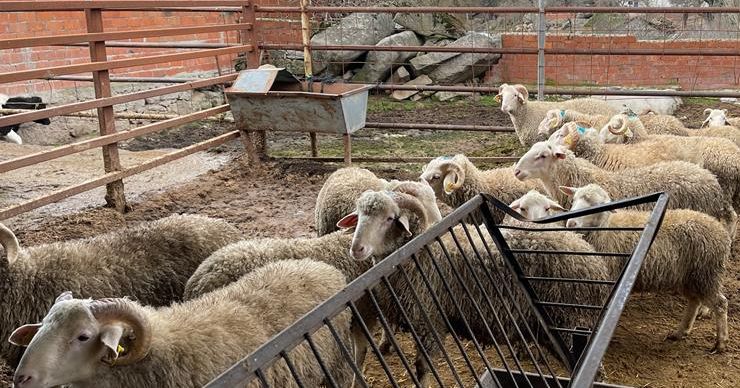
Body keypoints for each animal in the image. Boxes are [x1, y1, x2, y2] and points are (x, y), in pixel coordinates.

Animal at [556, 183, 728, 354]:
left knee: (720, 304)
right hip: (690, 277)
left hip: (706, 274)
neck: (605, 228)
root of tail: (719, 228)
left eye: (597, 205)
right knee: (694, 301)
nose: (571, 223)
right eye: (574, 199)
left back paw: (720, 343)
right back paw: (680, 332)